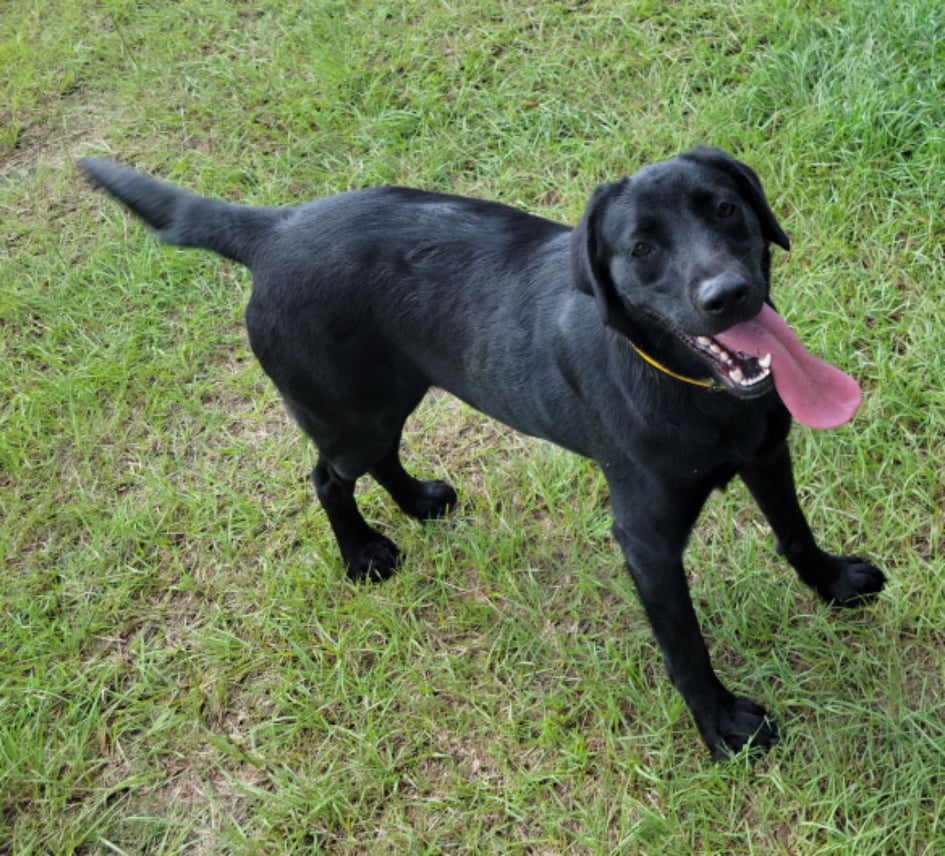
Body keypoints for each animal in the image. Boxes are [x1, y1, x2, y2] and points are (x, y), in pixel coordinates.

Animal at [81, 150, 884, 760]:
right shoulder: (646, 540)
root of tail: (275, 227)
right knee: (325, 477)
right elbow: (684, 646)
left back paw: (416, 503)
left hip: (393, 394)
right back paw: (362, 552)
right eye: (641, 249)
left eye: (724, 209)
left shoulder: (766, 452)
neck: (689, 385)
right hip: (347, 412)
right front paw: (721, 726)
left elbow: (793, 532)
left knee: (379, 458)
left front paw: (833, 582)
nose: (729, 294)